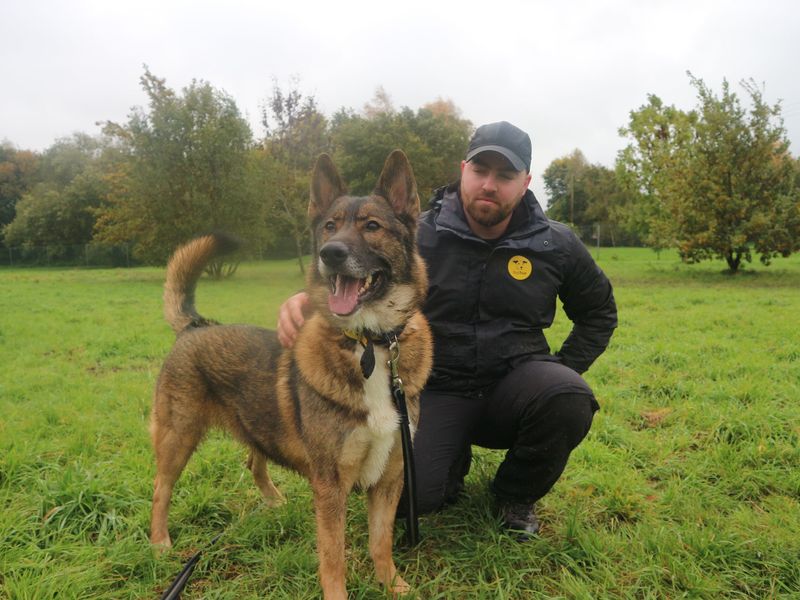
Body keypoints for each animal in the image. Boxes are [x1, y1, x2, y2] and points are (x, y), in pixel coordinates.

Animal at [152, 151, 438, 600]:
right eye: (329, 226)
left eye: (372, 226)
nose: (330, 253)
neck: (369, 344)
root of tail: (196, 325)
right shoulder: (331, 487)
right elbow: (333, 558)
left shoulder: (390, 477)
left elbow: (381, 543)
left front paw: (393, 586)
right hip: (177, 437)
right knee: (160, 489)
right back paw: (160, 543)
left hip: (251, 426)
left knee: (254, 462)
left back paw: (273, 503)